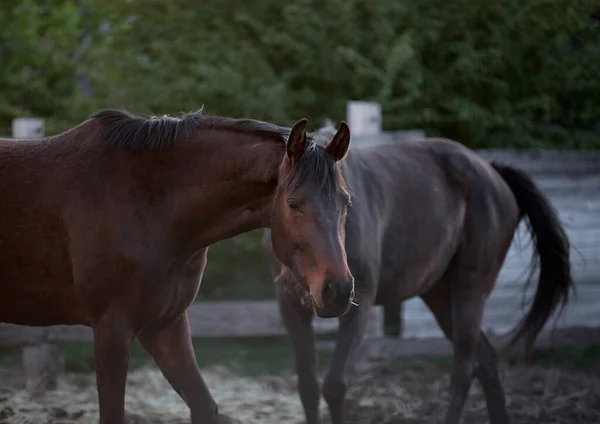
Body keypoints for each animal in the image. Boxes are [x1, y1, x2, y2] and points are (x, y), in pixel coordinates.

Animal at [1, 110, 356, 424]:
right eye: (293, 203)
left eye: (346, 201)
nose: (338, 289)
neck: (147, 206)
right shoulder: (112, 329)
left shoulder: (164, 325)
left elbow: (205, 407)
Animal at [262, 122, 572, 424]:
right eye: (291, 203)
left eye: (347, 203)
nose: (334, 289)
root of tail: (493, 172)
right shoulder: (292, 309)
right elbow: (308, 388)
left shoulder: (358, 306)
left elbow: (334, 387)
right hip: (440, 297)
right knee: (486, 362)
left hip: (470, 292)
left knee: (463, 371)